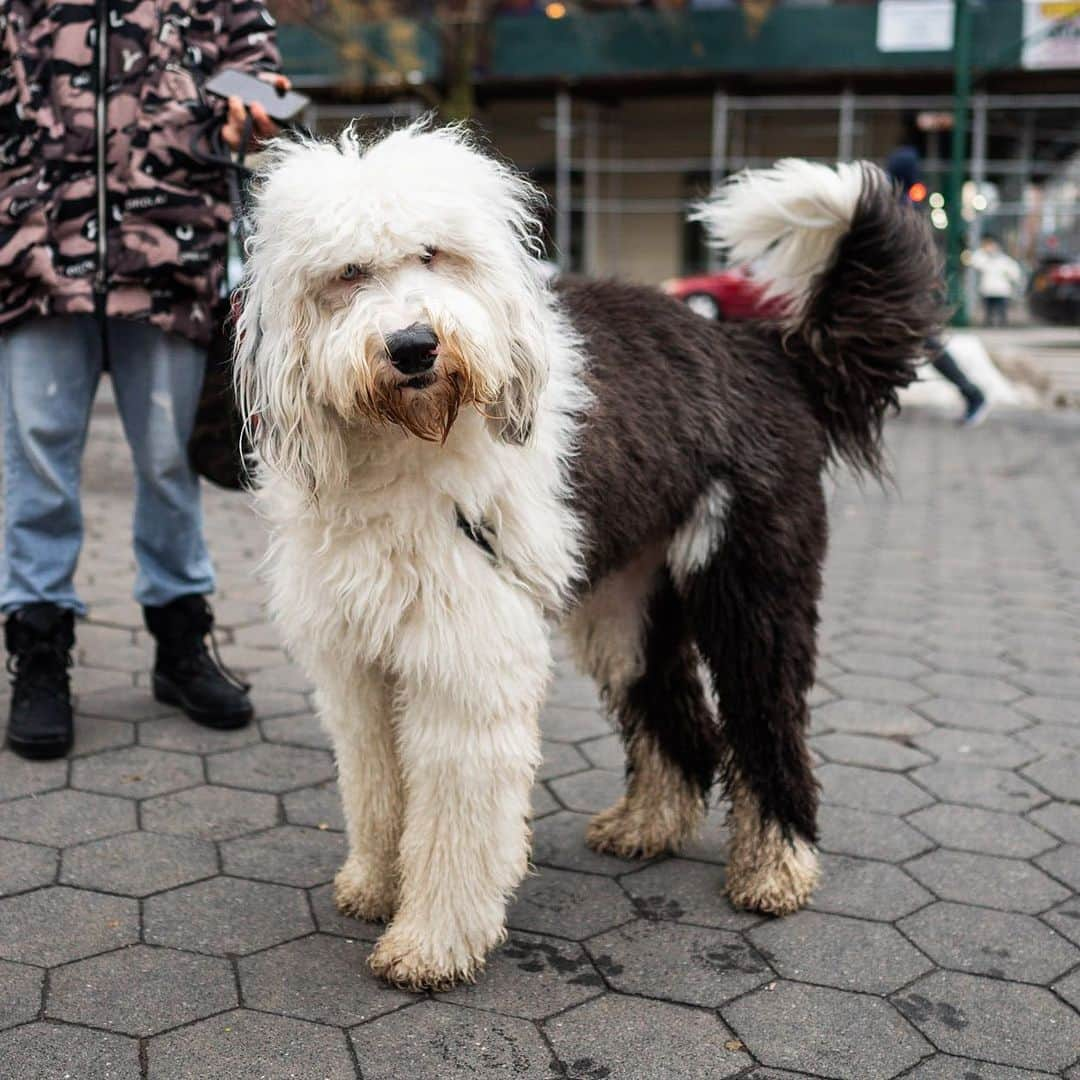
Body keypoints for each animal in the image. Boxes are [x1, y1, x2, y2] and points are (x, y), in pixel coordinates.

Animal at [234, 122, 937, 989]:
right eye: (348, 274)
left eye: (433, 254)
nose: (414, 347)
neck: (404, 446)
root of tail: (765, 351)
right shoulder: (356, 663)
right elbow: (374, 783)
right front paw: (374, 883)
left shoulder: (467, 660)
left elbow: (457, 816)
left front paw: (431, 941)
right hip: (628, 606)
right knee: (681, 720)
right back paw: (650, 823)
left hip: (749, 582)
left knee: (765, 719)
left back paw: (776, 865)